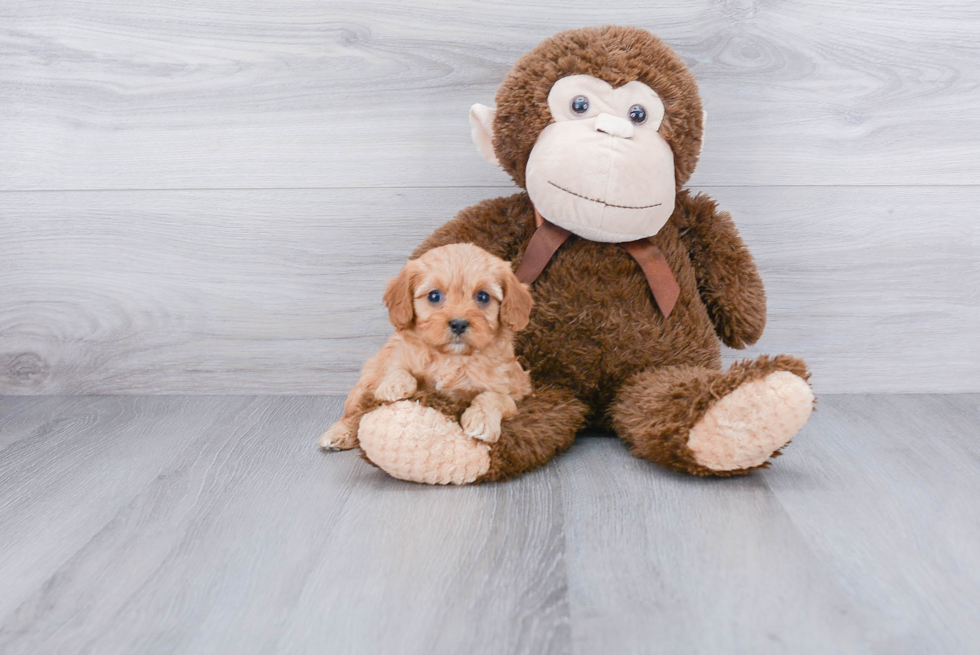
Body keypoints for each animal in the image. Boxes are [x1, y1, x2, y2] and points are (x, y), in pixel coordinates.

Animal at [320, 243, 536, 454]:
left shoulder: (513, 392)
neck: (451, 357)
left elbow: (492, 396)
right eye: (434, 296)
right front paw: (394, 385)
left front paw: (481, 421)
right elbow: (397, 369)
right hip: (365, 382)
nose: (459, 324)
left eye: (483, 296)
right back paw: (339, 433)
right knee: (356, 411)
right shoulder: (396, 354)